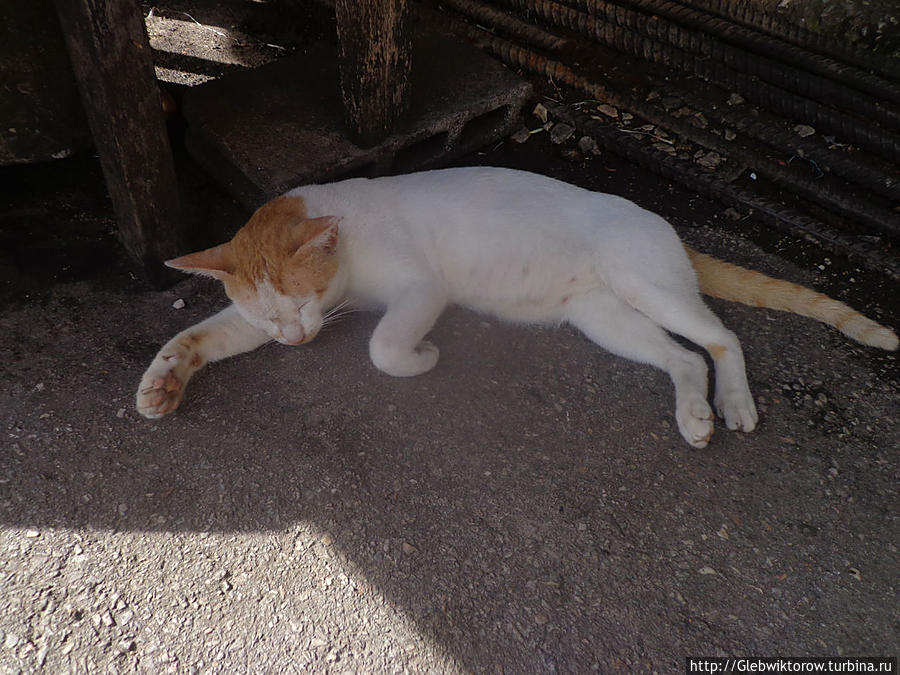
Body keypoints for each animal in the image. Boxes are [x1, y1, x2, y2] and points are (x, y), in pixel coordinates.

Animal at [135, 166, 900, 446]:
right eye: (270, 319)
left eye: (304, 300)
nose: (294, 343)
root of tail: (664, 224)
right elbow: (201, 333)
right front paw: (162, 380)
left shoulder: (421, 290)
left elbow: (382, 347)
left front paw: (423, 355)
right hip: (604, 318)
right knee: (683, 360)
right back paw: (694, 414)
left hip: (646, 285)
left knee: (723, 339)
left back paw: (734, 402)